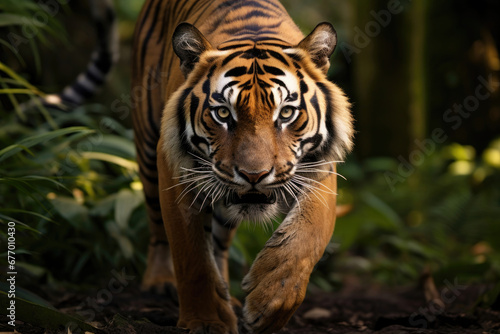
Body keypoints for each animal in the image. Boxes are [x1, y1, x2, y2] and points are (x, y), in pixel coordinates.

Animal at [131, 0, 354, 334]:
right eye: (223, 113)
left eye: (286, 113)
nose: (253, 175)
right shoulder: (173, 166)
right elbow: (191, 255)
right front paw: (204, 321)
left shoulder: (321, 166)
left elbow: (307, 237)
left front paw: (270, 303)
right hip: (147, 147)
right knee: (158, 228)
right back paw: (160, 281)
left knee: (219, 243)